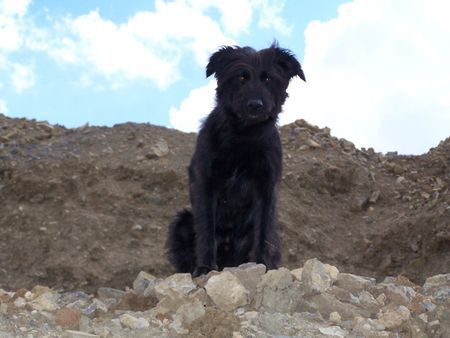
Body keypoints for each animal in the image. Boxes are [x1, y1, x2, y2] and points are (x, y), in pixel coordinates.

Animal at [165, 42, 306, 276]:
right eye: (241, 77)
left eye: (268, 78)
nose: (255, 105)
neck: (244, 135)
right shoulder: (205, 182)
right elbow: (206, 229)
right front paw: (205, 268)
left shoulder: (266, 187)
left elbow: (262, 233)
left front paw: (263, 266)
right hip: (182, 223)